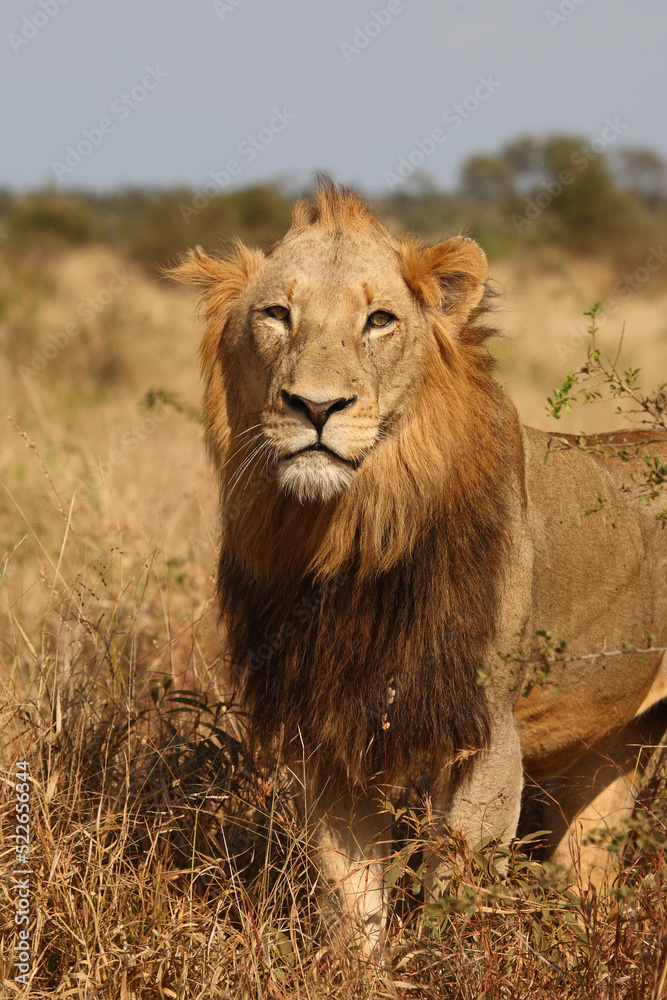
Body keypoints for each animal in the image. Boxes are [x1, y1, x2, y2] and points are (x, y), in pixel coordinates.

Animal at [172, 179, 667, 956]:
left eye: (379, 320)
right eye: (277, 315)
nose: (315, 406)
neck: (350, 533)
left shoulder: (482, 731)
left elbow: (455, 889)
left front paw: (448, 962)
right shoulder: (328, 735)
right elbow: (349, 896)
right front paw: (362, 968)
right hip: (614, 749)